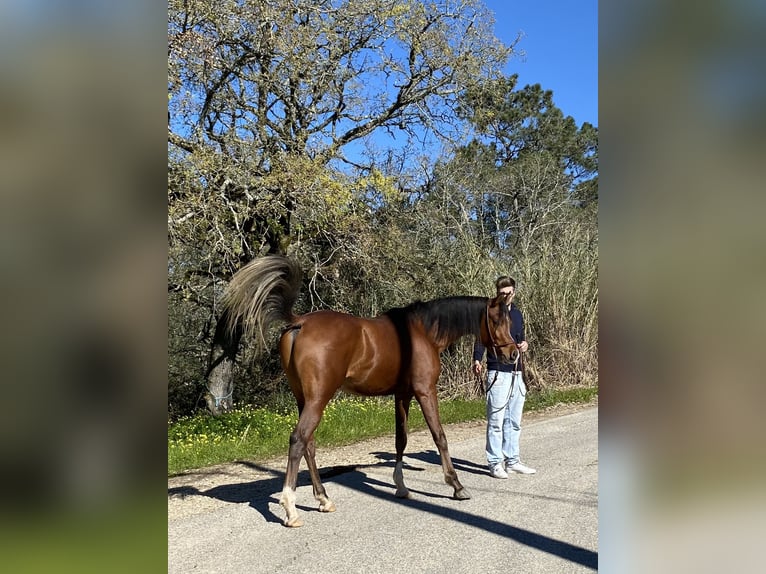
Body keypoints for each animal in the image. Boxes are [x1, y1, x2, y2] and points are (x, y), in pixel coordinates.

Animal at [218, 256, 516, 528]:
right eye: (497, 321)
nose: (513, 353)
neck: (422, 333)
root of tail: (299, 322)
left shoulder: (402, 395)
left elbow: (401, 440)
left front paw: (401, 487)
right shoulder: (425, 391)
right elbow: (439, 437)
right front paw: (456, 485)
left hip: (303, 399)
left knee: (308, 445)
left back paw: (323, 499)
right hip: (318, 399)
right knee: (298, 440)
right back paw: (291, 509)